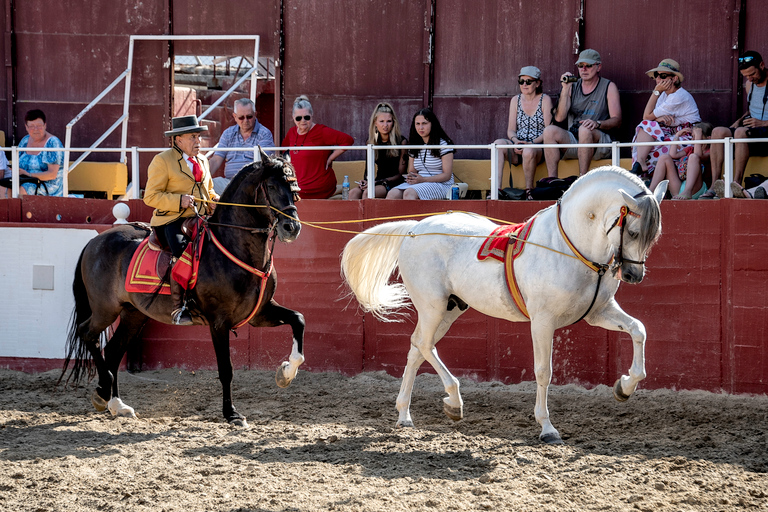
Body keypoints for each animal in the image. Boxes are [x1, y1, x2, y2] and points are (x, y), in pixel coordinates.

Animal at [59, 150, 304, 426]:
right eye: (271, 186)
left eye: (294, 187)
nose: (292, 227)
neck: (236, 247)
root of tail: (96, 241)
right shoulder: (219, 322)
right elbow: (226, 369)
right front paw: (231, 413)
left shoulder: (259, 314)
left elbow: (298, 319)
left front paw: (285, 373)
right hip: (105, 310)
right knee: (87, 334)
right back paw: (103, 390)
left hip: (133, 314)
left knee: (112, 351)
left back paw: (116, 404)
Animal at [342, 166, 664, 442]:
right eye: (633, 232)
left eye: (654, 234)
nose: (633, 275)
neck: (568, 246)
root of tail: (415, 229)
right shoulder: (543, 321)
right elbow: (543, 371)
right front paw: (547, 428)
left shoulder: (598, 312)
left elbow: (639, 330)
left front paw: (624, 386)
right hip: (432, 306)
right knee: (422, 345)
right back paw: (453, 400)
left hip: (449, 309)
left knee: (417, 349)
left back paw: (405, 415)